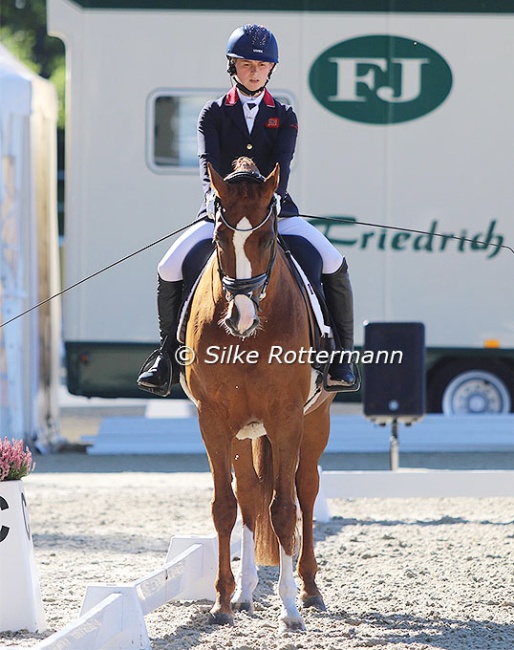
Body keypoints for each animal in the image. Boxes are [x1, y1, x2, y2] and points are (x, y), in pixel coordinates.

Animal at [182, 156, 334, 628]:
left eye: (267, 239)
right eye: (218, 238)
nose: (241, 317)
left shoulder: (286, 418)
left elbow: (284, 509)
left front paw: (289, 610)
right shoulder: (212, 419)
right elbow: (225, 508)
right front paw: (222, 602)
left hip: (315, 420)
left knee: (305, 490)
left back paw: (309, 590)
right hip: (243, 432)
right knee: (249, 497)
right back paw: (246, 593)